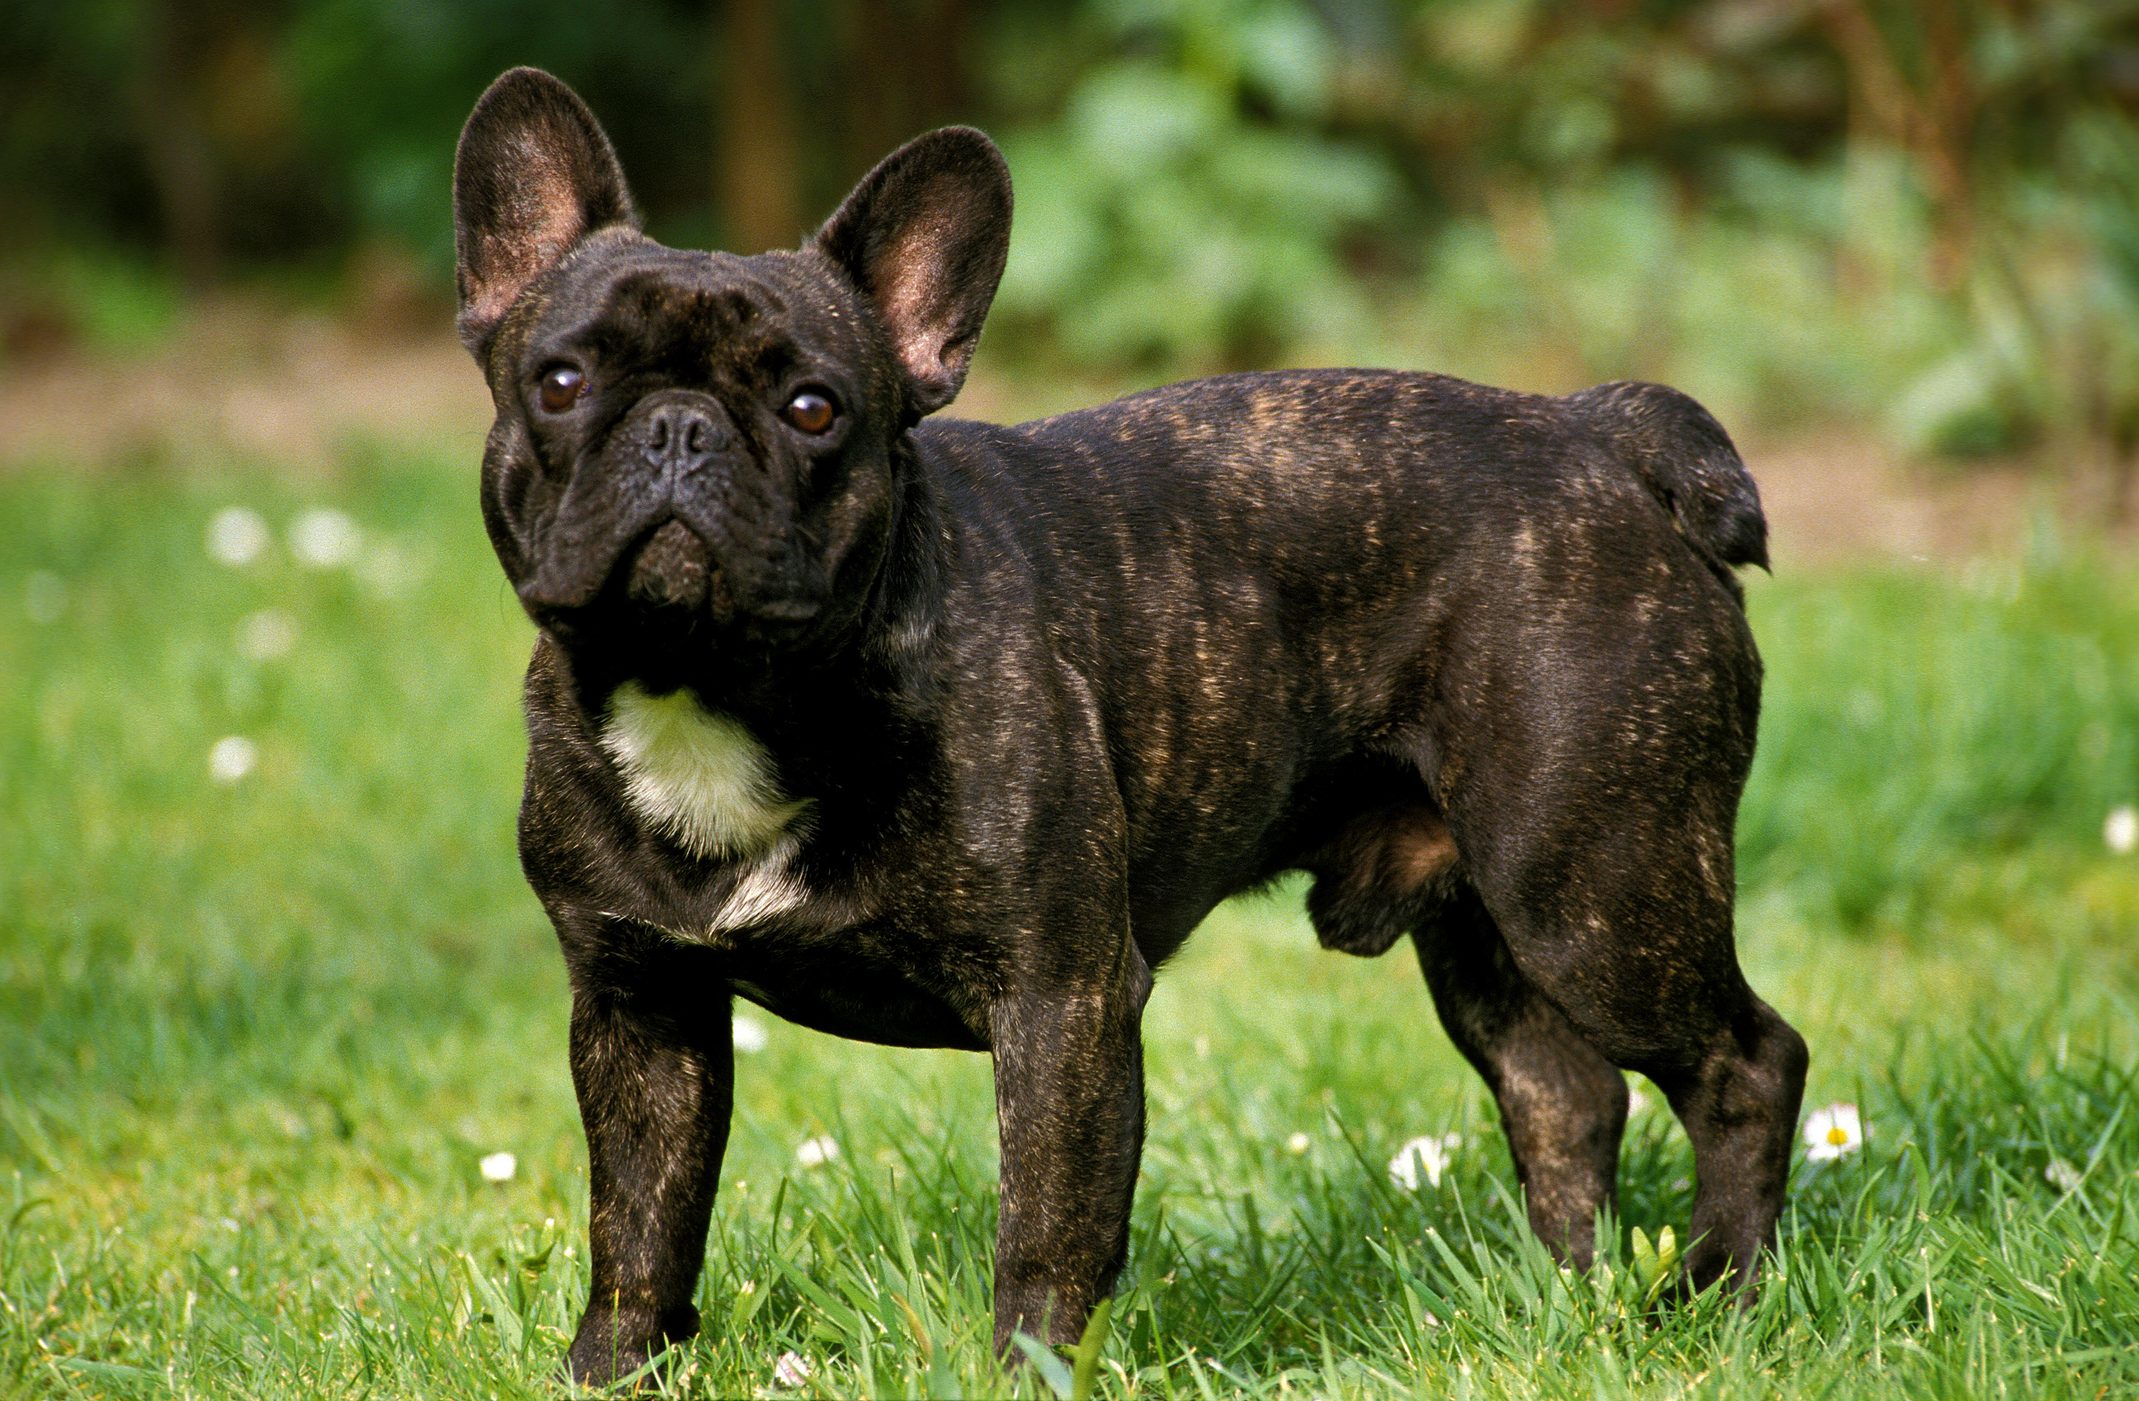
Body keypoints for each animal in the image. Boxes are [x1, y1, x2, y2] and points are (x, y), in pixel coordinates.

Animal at [451, 68, 1805, 1394]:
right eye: (560, 383)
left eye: (814, 407)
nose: (678, 427)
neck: (719, 692)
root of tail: (1602, 437)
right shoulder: (640, 1010)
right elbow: (641, 1224)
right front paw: (607, 1374)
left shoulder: (1064, 1003)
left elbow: (1046, 1239)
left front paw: (1021, 1379)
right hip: (1486, 923)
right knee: (1561, 1090)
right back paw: (1565, 1308)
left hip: (1596, 890)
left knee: (1746, 1064)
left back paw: (1713, 1301)